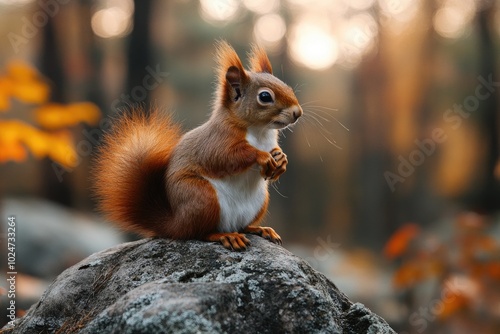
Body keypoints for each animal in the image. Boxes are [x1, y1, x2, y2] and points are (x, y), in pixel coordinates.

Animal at [94, 41, 302, 250]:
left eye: (288, 87)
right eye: (265, 97)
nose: (297, 112)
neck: (260, 131)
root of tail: (176, 224)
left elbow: (275, 152)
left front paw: (281, 159)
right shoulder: (216, 141)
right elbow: (226, 157)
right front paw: (263, 157)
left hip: (260, 201)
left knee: (243, 226)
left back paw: (260, 229)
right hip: (202, 197)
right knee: (199, 232)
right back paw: (225, 236)